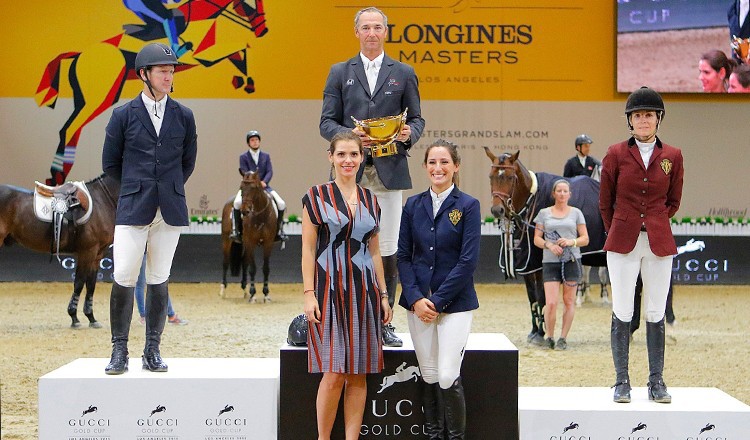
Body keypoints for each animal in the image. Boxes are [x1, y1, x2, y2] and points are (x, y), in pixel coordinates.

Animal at [0, 174, 119, 326]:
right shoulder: (88, 251)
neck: (102, 200)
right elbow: (79, 282)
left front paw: (91, 318)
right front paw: (74, 317)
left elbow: (91, 284)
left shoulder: (97, 254)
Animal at [220, 170, 280, 300]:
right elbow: (252, 268)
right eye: (241, 187)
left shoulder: (268, 243)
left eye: (254, 188)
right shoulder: (250, 241)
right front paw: (253, 294)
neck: (260, 215)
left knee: (244, 262)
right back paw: (223, 290)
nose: (245, 211)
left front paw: (266, 294)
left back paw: (245, 290)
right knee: (225, 262)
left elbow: (265, 268)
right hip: (227, 240)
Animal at [484, 150, 608, 342]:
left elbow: (542, 297)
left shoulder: (541, 266)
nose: (497, 211)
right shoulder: (528, 264)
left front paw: (541, 335)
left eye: (511, 177)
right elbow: (532, 298)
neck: (532, 202)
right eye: (491, 176)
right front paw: (534, 331)